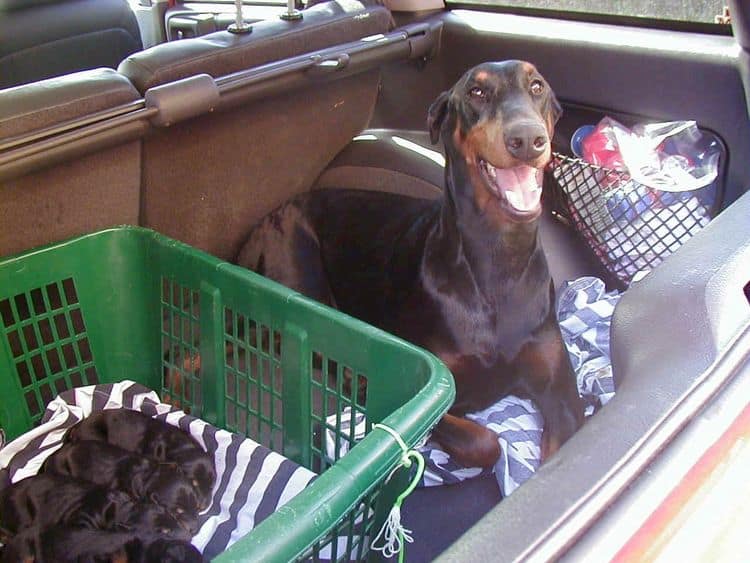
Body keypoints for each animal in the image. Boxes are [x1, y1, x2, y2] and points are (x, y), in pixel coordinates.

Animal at [238, 59, 584, 470]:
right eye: (476, 92)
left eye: (537, 86)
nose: (527, 139)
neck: (499, 257)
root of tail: (259, 225)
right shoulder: (430, 388)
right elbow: (485, 442)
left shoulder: (561, 395)